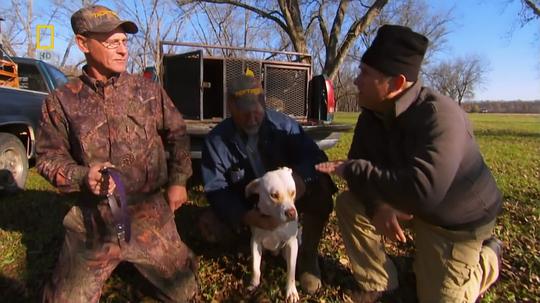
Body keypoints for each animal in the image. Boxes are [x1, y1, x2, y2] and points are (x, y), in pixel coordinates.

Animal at [245, 167, 300, 302]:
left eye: (293, 192)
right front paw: (254, 284)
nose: (291, 213)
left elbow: (291, 271)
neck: (275, 220)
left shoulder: (292, 243)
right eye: (274, 195)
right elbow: (255, 267)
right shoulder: (255, 242)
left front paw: (291, 291)